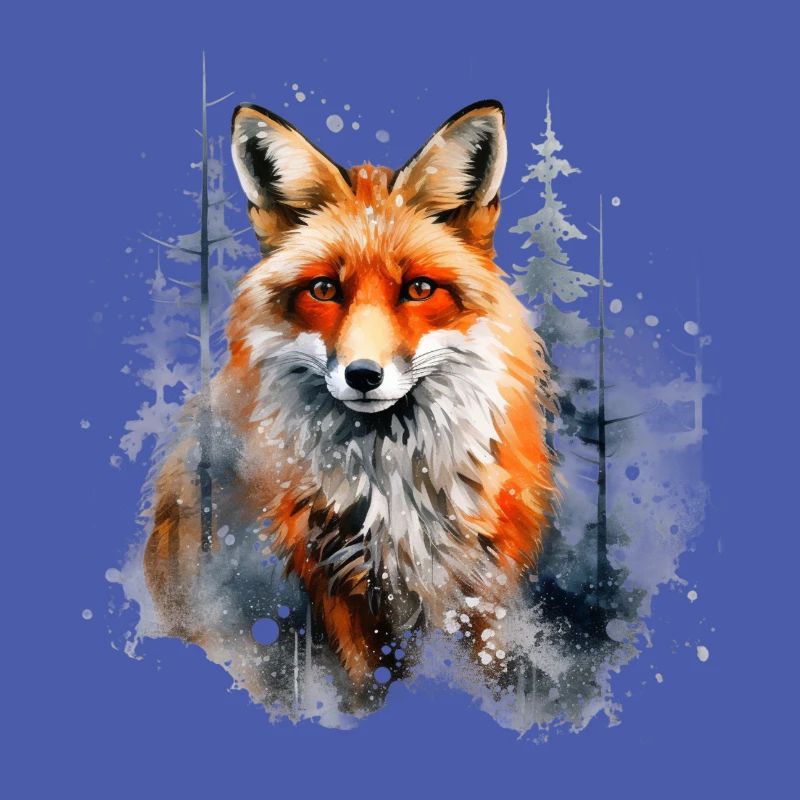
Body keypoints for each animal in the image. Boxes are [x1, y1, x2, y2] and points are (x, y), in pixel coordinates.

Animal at [144, 99, 556, 707]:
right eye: (324, 290)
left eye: (419, 289)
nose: (363, 375)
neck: (395, 485)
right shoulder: (337, 588)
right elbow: (362, 690)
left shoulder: (479, 588)